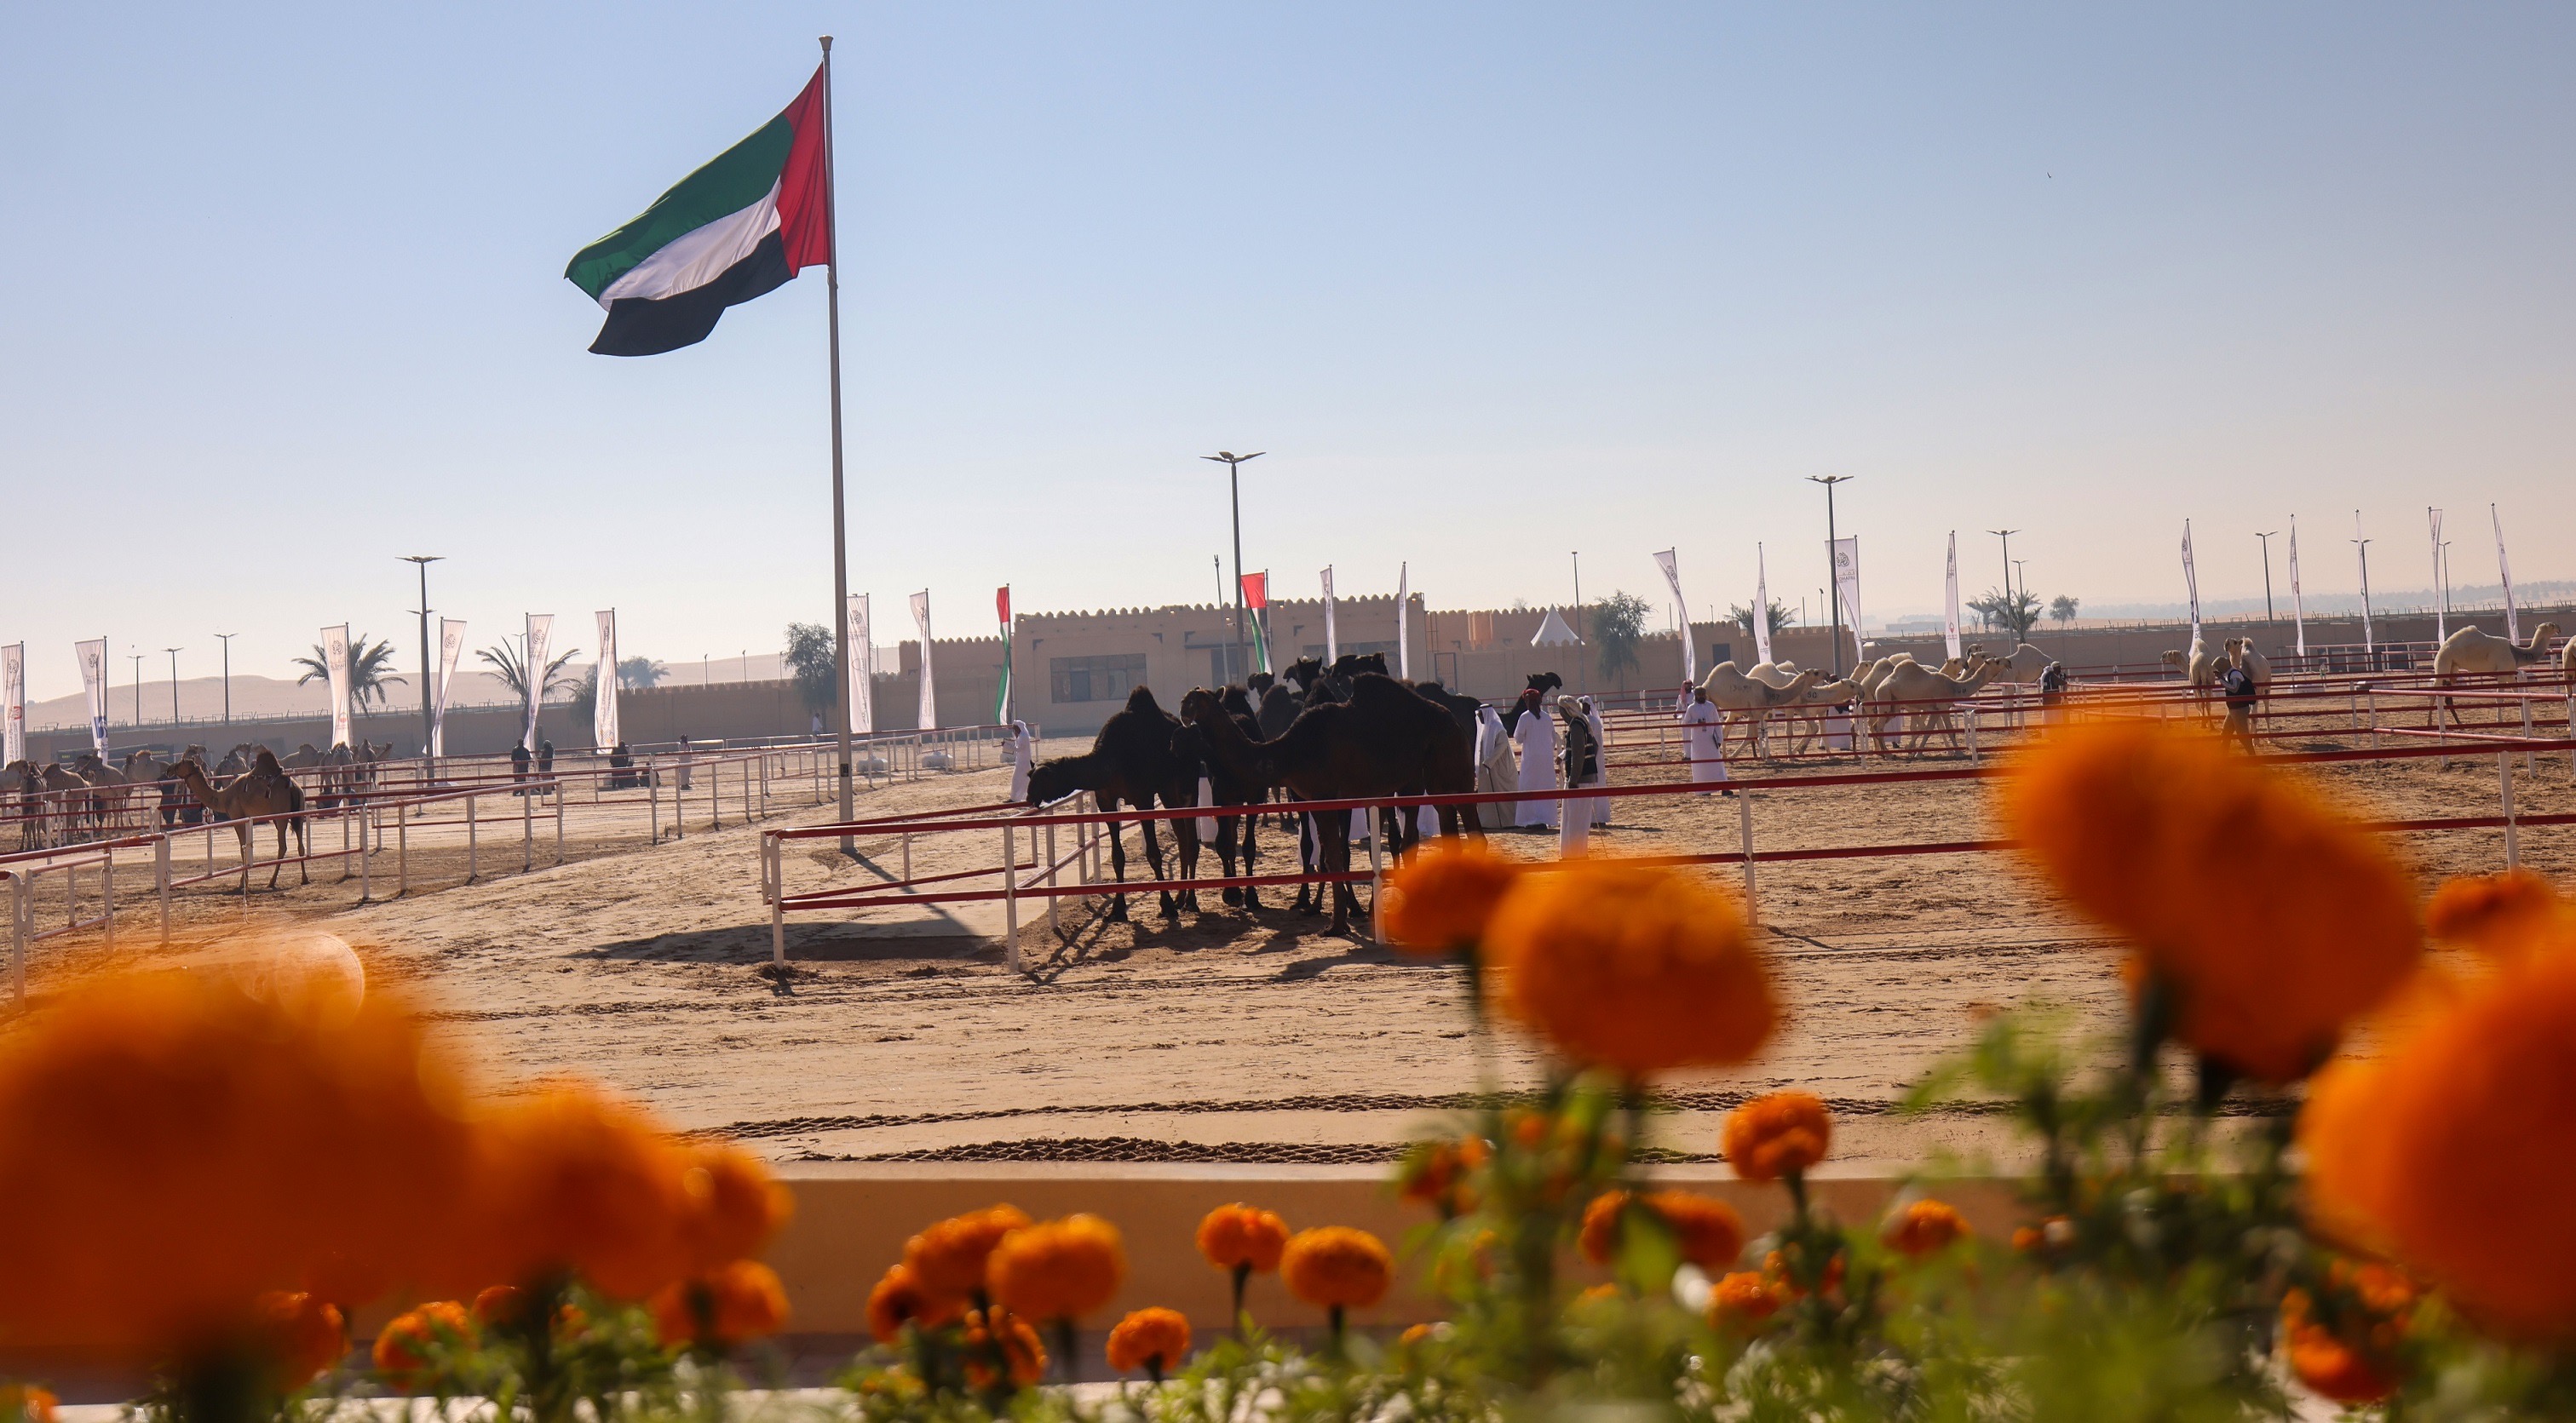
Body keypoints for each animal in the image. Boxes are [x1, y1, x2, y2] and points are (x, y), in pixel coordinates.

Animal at [166, 761, 311, 880]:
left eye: (181, 763)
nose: (169, 769)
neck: (224, 797)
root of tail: (293, 787)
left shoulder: (238, 818)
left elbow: (243, 848)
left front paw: (243, 882)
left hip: (281, 816)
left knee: (283, 846)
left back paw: (272, 881)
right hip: (299, 811)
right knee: (300, 845)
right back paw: (304, 878)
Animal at [1020, 684, 1200, 921]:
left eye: (1041, 780)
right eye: (1029, 775)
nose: (1029, 798)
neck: (1112, 759)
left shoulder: (1143, 798)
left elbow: (1153, 854)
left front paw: (1166, 906)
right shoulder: (1106, 800)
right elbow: (1117, 857)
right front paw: (1117, 910)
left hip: (1189, 783)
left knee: (1191, 839)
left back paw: (1190, 901)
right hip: (1167, 790)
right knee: (1182, 837)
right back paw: (1181, 898)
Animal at [1179, 674, 1483, 936]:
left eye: (1197, 700)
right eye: (1186, 699)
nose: (1182, 711)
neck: (1289, 753)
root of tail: (1455, 721)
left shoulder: (1325, 795)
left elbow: (1335, 857)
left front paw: (1337, 925)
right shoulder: (1316, 801)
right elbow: (1329, 855)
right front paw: (1340, 919)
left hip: (1452, 760)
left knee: (1471, 829)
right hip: (1426, 779)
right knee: (1439, 829)